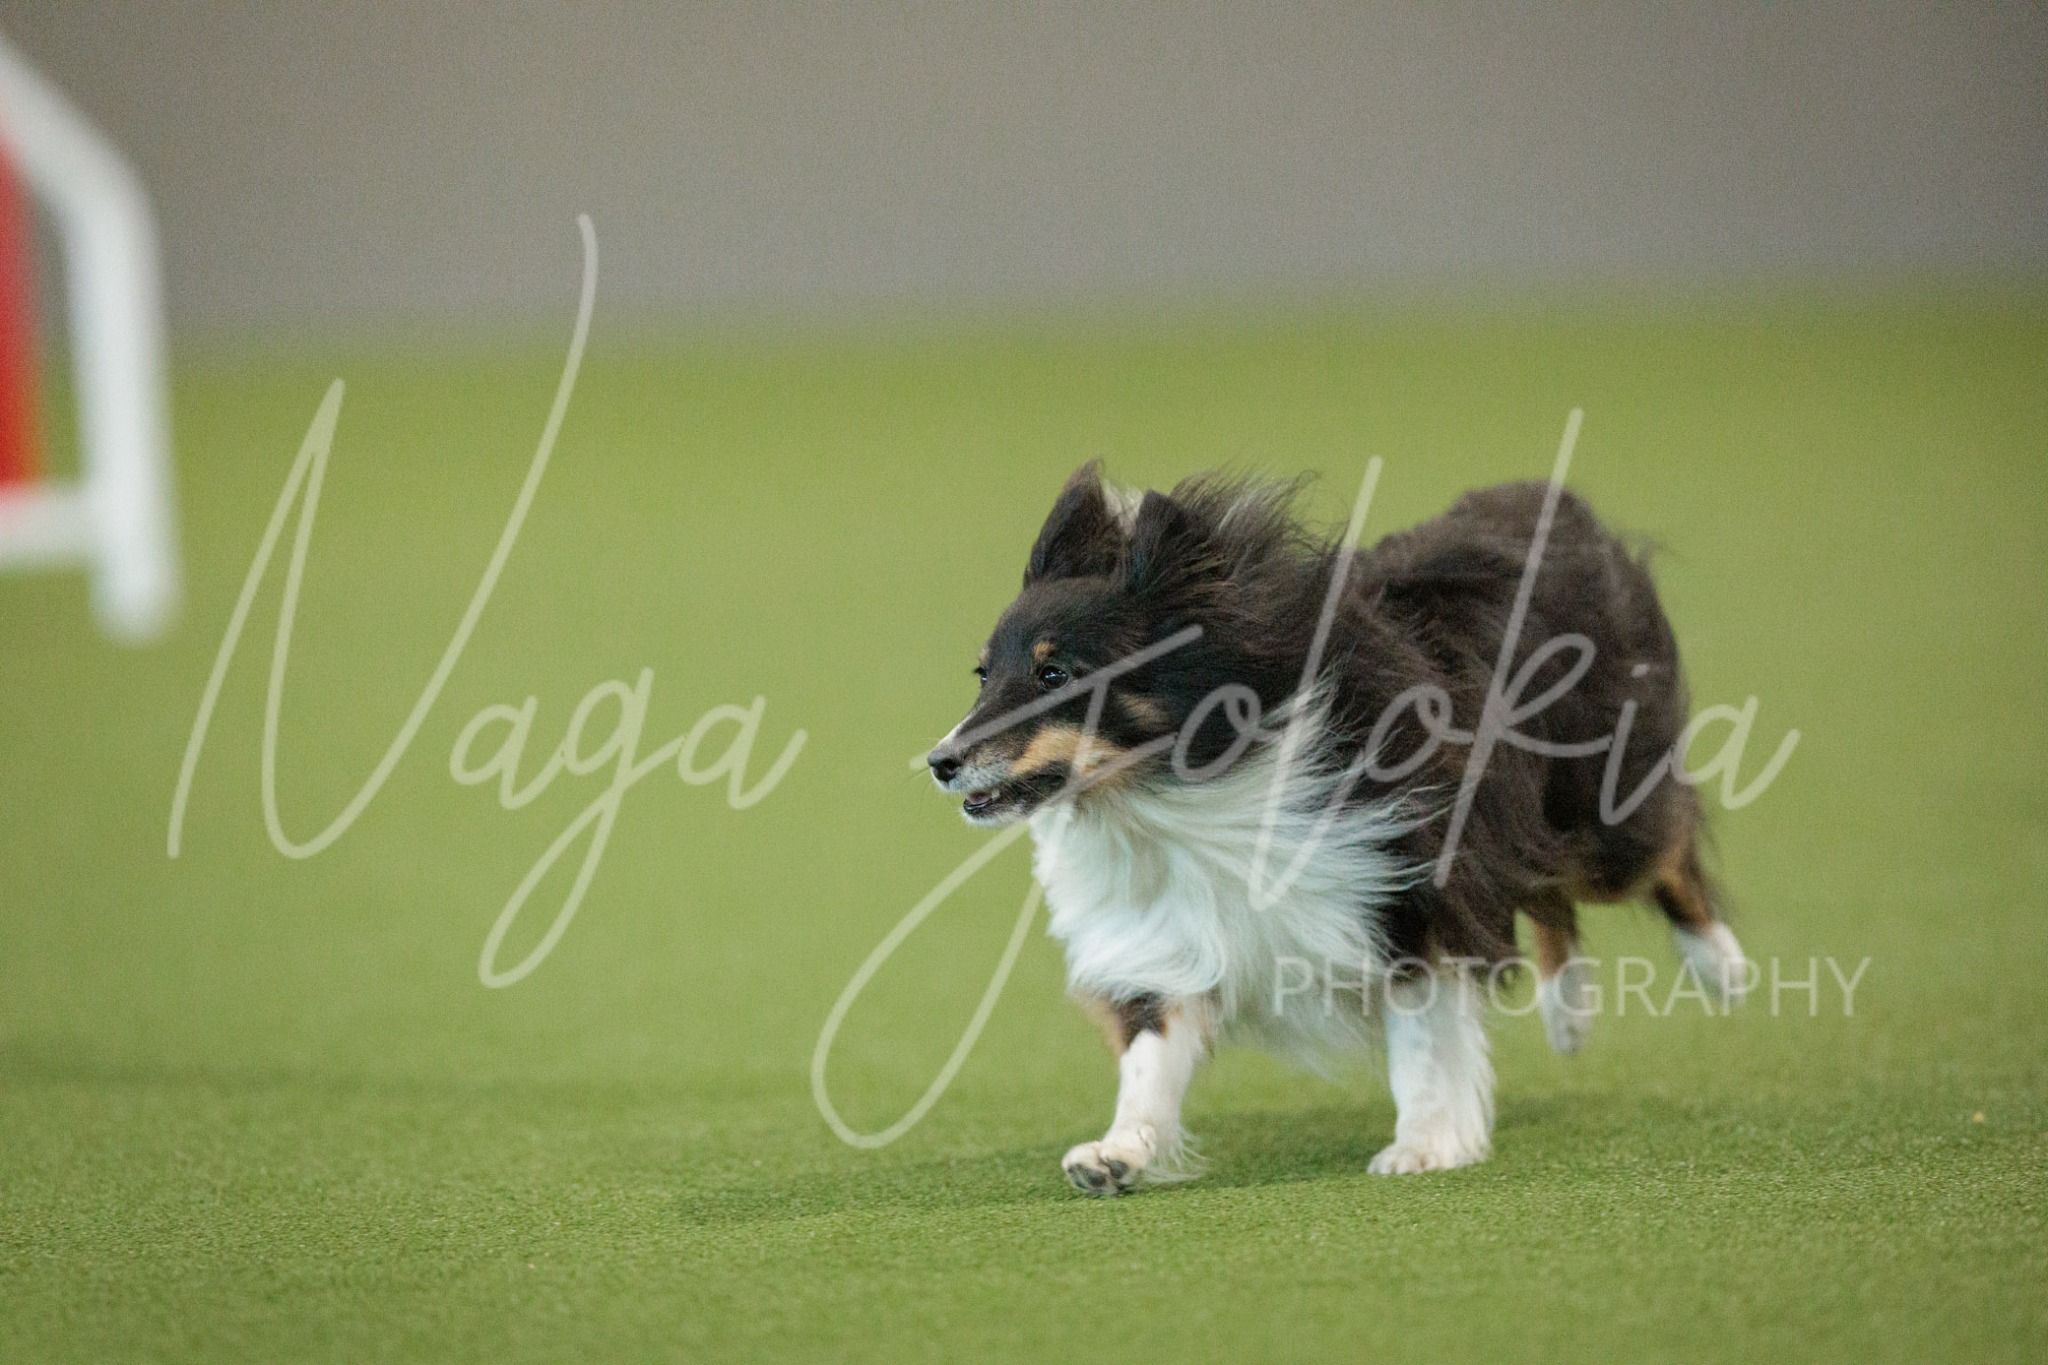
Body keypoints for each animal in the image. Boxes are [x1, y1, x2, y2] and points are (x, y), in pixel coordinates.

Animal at [926, 463, 1748, 1194]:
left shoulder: (1402, 888)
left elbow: (1419, 1041)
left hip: (1603, 810)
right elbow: (1149, 1055)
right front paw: (1115, 1154)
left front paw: (1424, 1145)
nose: (939, 761)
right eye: (982, 675)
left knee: (1664, 852)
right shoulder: (1170, 930)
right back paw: (1569, 1013)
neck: (1163, 798)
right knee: (1549, 890)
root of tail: (1553, 504)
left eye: (1055, 674)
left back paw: (1722, 970)